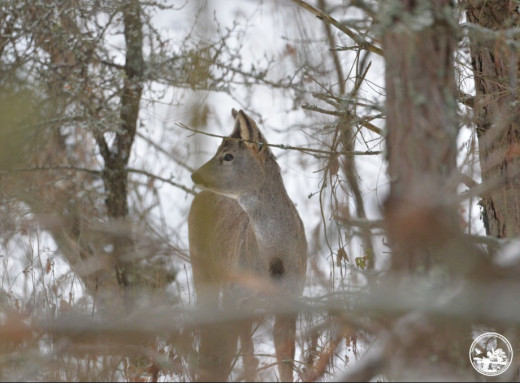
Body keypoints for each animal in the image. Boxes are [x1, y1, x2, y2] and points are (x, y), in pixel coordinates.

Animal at [189, 109, 306, 382]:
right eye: (217, 149)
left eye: (228, 155)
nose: (195, 175)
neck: (274, 257)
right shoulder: (239, 296)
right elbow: (249, 361)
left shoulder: (291, 298)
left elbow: (286, 363)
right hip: (201, 273)